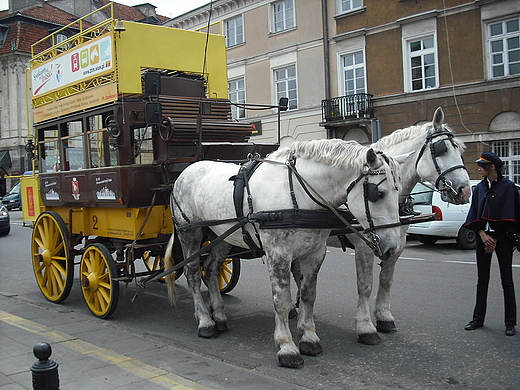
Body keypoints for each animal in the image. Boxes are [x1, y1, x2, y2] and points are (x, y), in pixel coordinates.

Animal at [165, 139, 404, 368]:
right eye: (378, 194)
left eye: (398, 190)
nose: (393, 247)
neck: (297, 193)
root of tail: (186, 171)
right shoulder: (278, 254)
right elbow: (281, 300)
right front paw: (287, 347)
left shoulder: (315, 253)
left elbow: (308, 295)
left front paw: (309, 338)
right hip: (190, 233)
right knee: (194, 274)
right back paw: (205, 321)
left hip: (222, 235)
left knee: (212, 269)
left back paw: (219, 315)